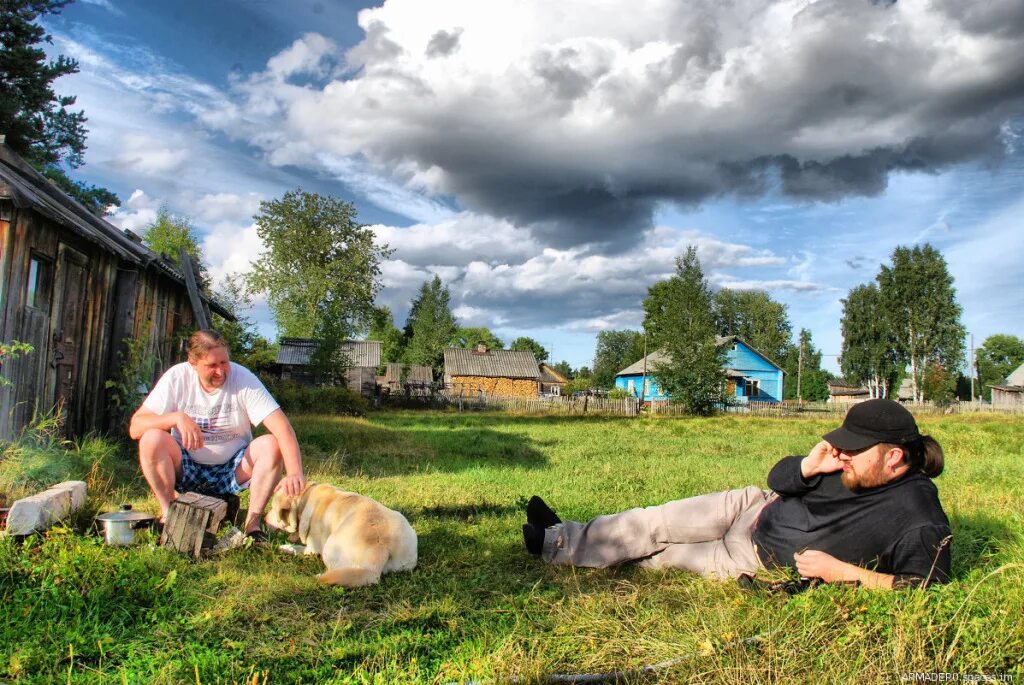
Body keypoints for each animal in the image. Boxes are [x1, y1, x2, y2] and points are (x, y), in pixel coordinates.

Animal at [268, 481, 419, 589]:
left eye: (272, 508)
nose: (264, 517)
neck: (304, 498)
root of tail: (379, 548)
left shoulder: (312, 549)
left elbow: (299, 548)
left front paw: (286, 547)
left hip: (329, 548)